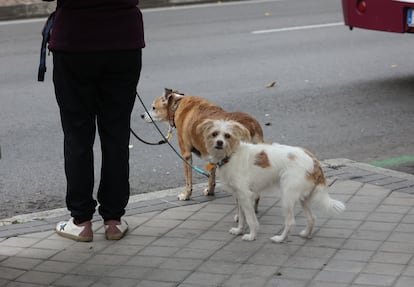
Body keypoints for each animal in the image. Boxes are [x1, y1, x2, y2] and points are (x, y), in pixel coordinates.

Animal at [198, 119, 346, 243]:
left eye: (227, 136)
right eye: (214, 134)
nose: (219, 143)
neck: (231, 155)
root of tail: (314, 160)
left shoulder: (246, 196)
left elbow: (250, 219)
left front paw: (251, 236)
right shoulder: (239, 196)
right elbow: (242, 217)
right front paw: (239, 230)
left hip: (287, 197)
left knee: (291, 222)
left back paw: (280, 239)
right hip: (302, 197)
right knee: (311, 218)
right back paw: (305, 234)